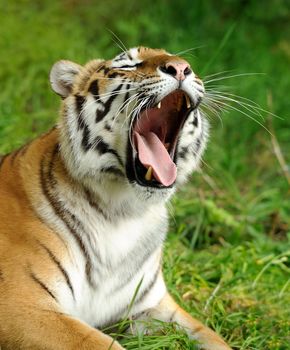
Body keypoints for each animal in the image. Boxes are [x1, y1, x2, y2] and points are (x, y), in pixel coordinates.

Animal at [0, 47, 232, 350]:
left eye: (185, 64)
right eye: (129, 64)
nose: (181, 68)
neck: (123, 212)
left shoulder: (150, 306)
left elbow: (214, 339)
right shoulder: (22, 305)